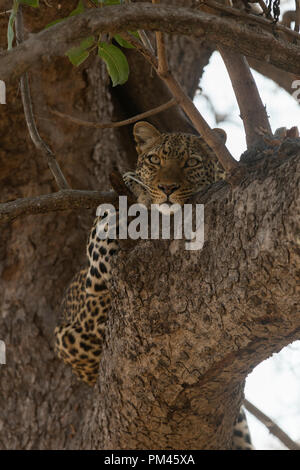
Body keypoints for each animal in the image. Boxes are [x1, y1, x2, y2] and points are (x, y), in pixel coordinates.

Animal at [53, 120, 253, 448]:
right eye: (154, 160)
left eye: (191, 162)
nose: (167, 188)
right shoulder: (92, 287)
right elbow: (108, 220)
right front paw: (132, 190)